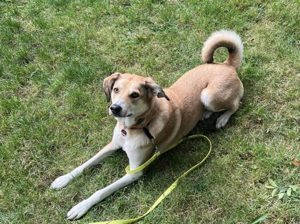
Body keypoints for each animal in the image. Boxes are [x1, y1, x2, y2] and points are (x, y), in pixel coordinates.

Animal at [51, 28, 244, 220]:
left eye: (135, 95)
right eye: (116, 90)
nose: (115, 108)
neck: (133, 128)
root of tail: (226, 65)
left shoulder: (135, 171)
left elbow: (102, 190)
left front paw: (81, 206)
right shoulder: (112, 145)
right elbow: (86, 164)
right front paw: (64, 178)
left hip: (209, 96)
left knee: (236, 104)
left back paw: (222, 118)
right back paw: (206, 113)